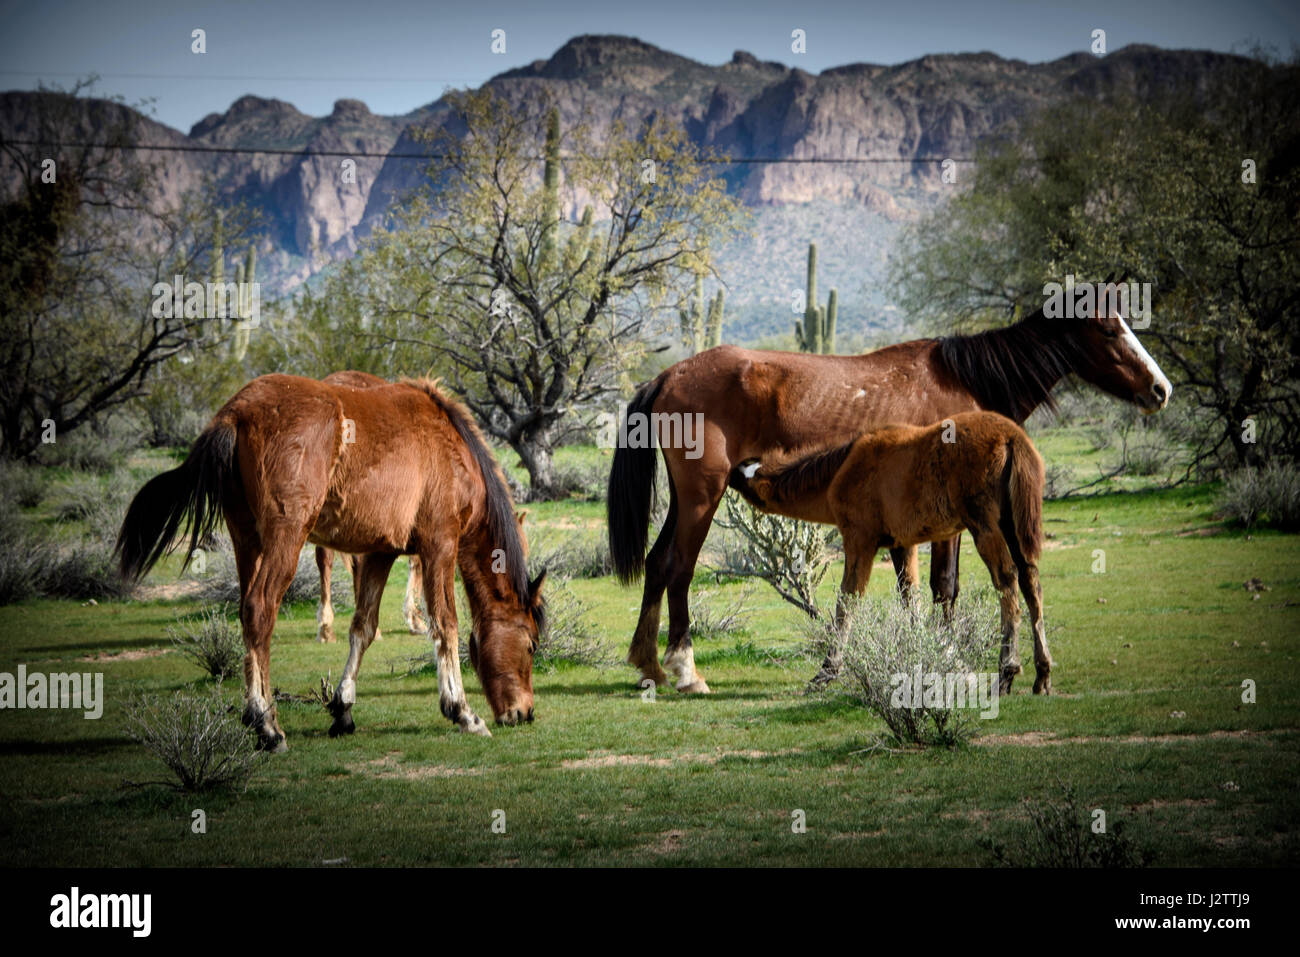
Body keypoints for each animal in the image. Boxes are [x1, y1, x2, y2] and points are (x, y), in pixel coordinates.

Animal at [733, 410, 1045, 696]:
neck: (840, 470)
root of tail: (1011, 436)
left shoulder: (859, 541)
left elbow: (848, 600)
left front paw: (827, 671)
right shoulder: (902, 544)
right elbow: (910, 598)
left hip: (984, 525)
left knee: (1007, 578)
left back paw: (1007, 671)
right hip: (1013, 526)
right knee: (1030, 579)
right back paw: (1042, 675)